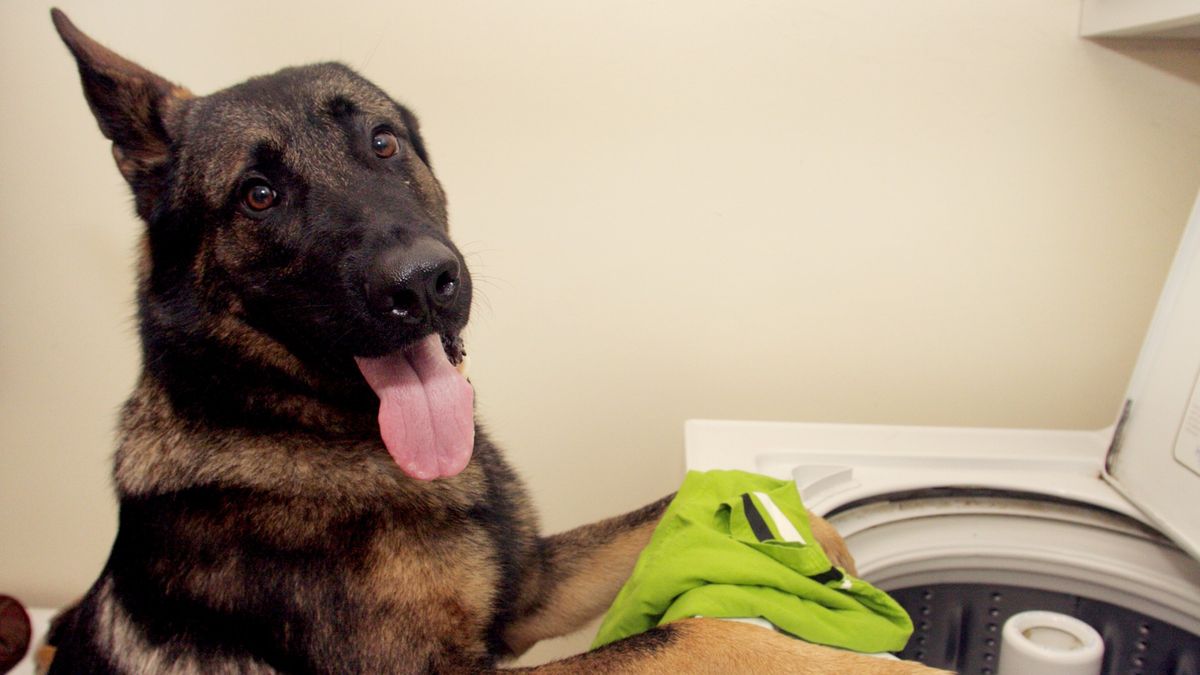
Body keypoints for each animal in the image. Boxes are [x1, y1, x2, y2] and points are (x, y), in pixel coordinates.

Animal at [46, 10, 940, 672]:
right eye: (258, 194)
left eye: (383, 142)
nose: (423, 283)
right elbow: (694, 632)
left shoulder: (529, 590)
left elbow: (735, 525)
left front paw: (831, 565)